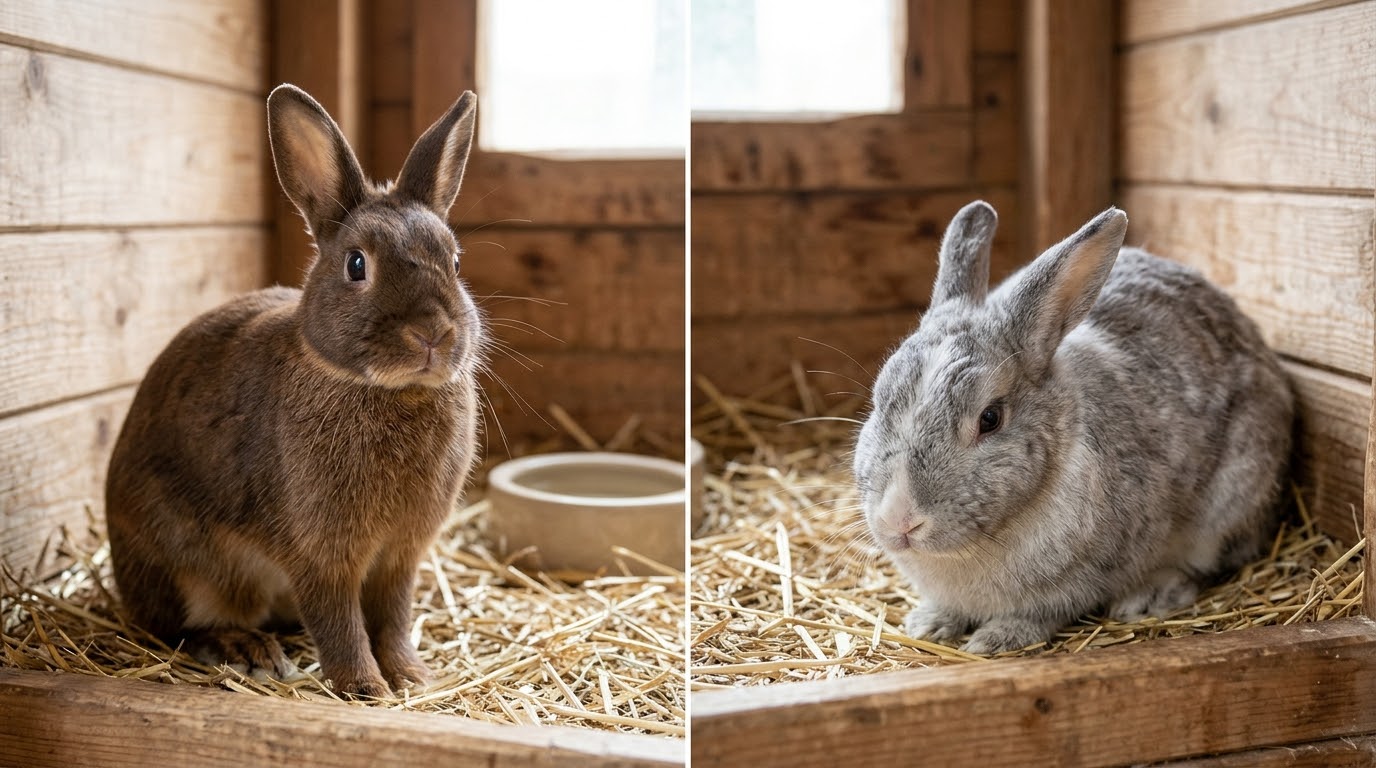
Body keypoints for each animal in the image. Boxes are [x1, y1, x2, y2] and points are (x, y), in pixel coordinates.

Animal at [104, 83, 486, 697]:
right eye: (356, 265)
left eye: (453, 261)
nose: (432, 333)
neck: (387, 390)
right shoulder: (322, 556)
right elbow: (340, 622)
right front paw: (365, 689)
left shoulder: (399, 558)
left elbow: (393, 617)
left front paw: (412, 677)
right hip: (185, 565)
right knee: (177, 628)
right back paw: (246, 648)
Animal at [852, 201, 1293, 655]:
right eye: (879, 398)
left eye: (990, 419)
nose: (898, 520)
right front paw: (929, 624)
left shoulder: (1083, 579)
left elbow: (1043, 614)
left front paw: (996, 640)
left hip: (1230, 503)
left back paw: (1149, 596)